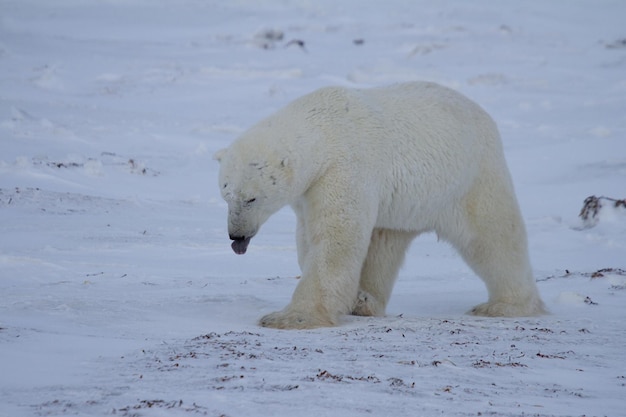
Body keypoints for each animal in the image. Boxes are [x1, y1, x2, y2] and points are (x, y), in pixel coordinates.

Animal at [212, 81, 544, 328]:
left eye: (252, 198)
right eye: (226, 196)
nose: (236, 236)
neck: (323, 128)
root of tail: (483, 114)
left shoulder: (345, 168)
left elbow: (336, 237)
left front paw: (290, 317)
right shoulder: (308, 191)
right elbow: (309, 237)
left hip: (470, 177)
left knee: (493, 237)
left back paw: (504, 305)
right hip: (403, 205)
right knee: (385, 244)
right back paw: (364, 301)